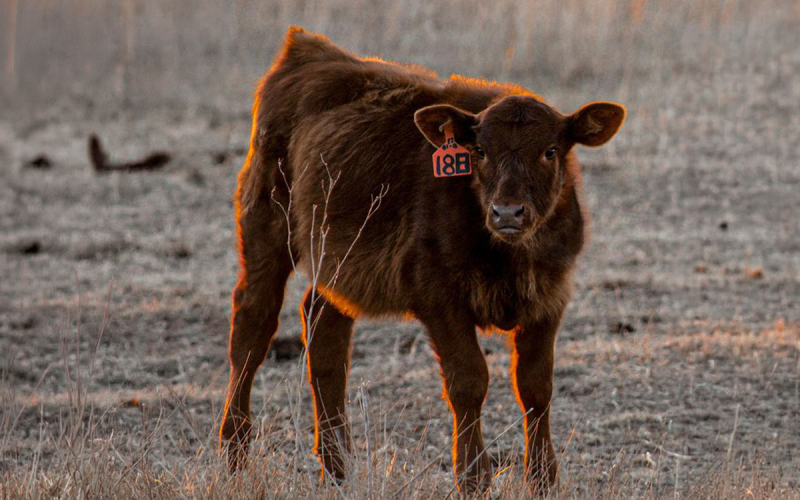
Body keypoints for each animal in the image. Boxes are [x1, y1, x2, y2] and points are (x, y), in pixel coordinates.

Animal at [220, 26, 625, 494]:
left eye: (550, 151)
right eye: (480, 151)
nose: (507, 212)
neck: (511, 256)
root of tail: (307, 48)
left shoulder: (550, 298)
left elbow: (536, 386)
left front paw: (543, 479)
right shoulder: (439, 299)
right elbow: (469, 382)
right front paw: (473, 478)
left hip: (335, 259)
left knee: (323, 327)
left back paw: (338, 468)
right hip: (266, 224)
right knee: (253, 323)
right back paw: (235, 453)